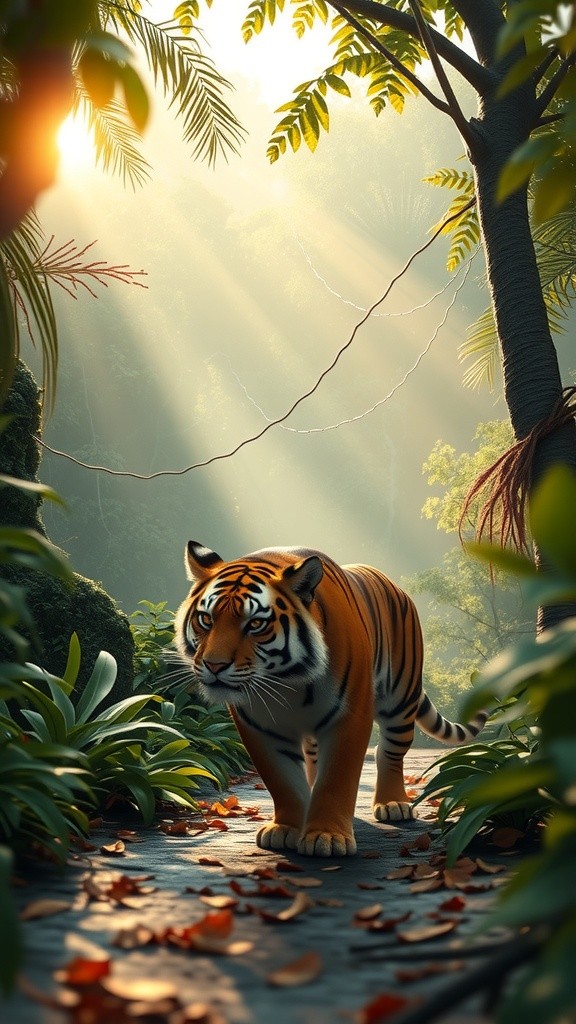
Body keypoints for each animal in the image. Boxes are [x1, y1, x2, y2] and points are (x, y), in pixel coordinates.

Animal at [174, 542, 487, 858]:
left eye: (256, 624)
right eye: (206, 619)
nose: (214, 665)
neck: (286, 681)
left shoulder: (349, 717)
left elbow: (336, 778)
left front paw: (326, 836)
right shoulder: (259, 727)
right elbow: (283, 780)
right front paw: (286, 829)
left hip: (399, 699)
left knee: (389, 751)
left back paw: (393, 804)